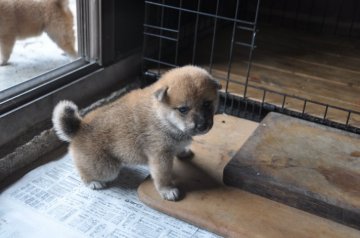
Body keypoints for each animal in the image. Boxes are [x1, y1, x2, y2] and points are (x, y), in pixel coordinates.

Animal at [52, 65, 221, 201]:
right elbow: (163, 176)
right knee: (85, 173)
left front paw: (184, 152)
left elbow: (179, 149)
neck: (161, 116)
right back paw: (93, 182)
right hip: (107, 168)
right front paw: (167, 190)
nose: (202, 125)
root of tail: (78, 128)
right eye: (183, 109)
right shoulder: (160, 157)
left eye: (207, 104)